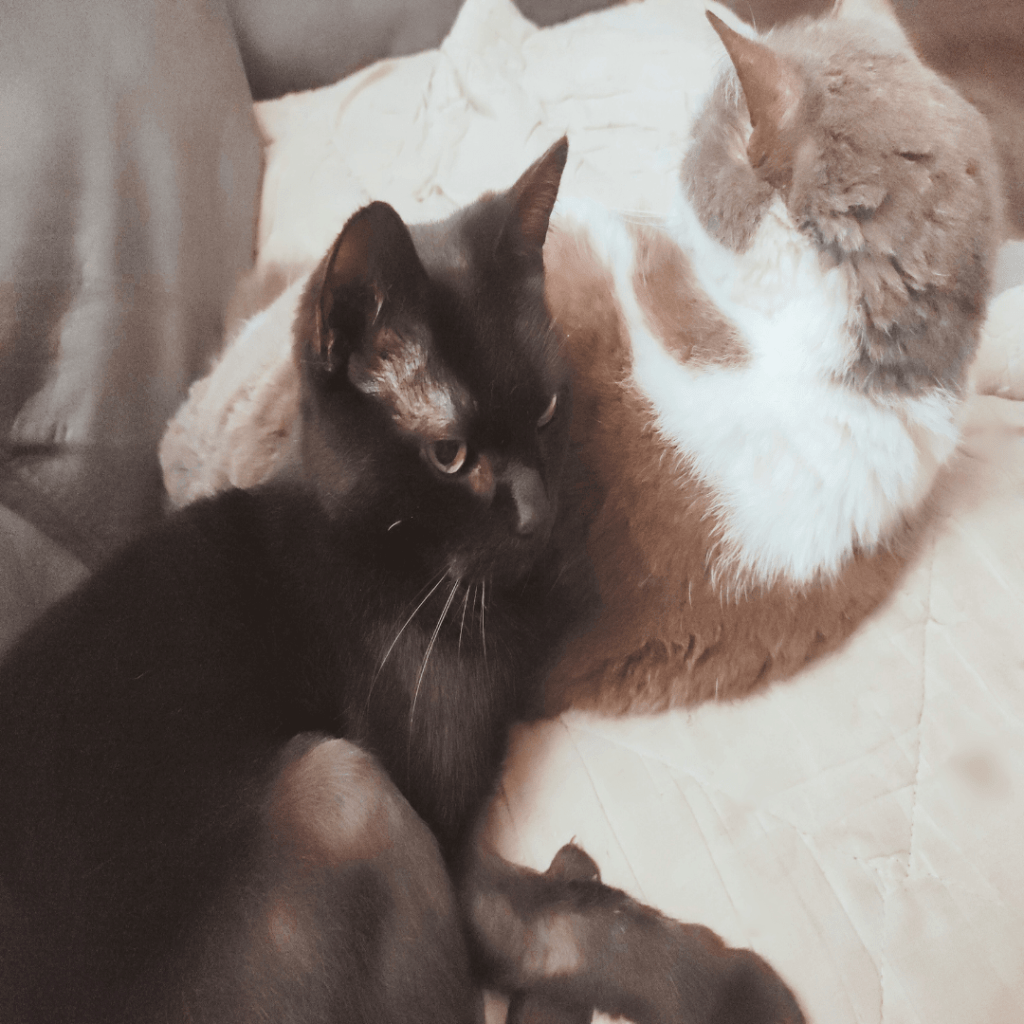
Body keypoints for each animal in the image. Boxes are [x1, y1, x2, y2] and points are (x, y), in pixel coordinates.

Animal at [0, 139, 805, 1024]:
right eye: (450, 454)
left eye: (547, 411)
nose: (536, 509)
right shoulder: (443, 835)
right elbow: (577, 929)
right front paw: (746, 993)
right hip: (340, 786)